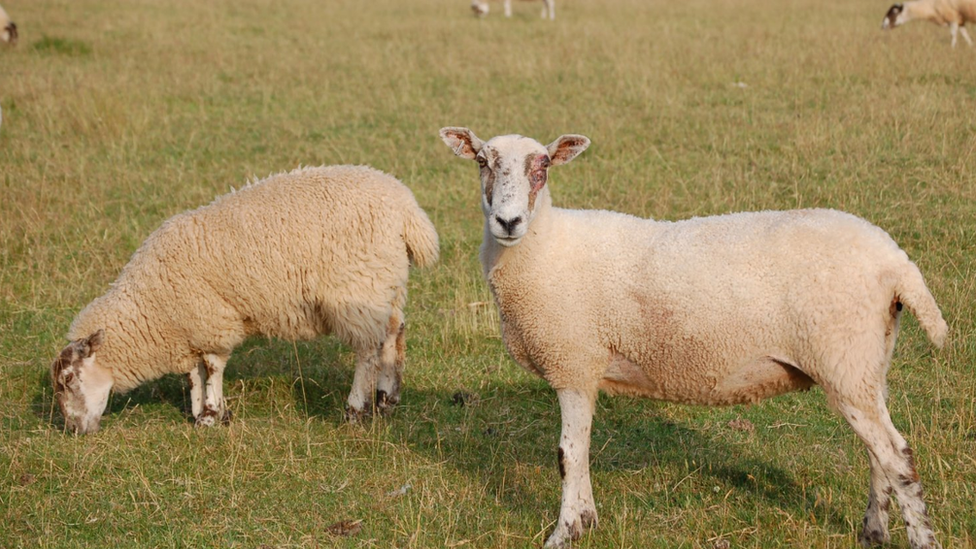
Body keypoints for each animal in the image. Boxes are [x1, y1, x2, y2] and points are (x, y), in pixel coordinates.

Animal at [48, 165, 438, 434]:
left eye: (68, 379)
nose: (73, 430)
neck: (149, 305)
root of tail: (409, 212)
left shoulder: (211, 318)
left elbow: (212, 367)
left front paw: (210, 415)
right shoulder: (189, 326)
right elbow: (193, 373)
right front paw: (202, 412)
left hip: (358, 289)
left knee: (367, 351)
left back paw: (355, 410)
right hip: (384, 285)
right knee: (394, 332)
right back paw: (387, 399)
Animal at [440, 125, 944, 548]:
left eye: (543, 165)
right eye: (482, 161)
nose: (508, 222)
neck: (544, 246)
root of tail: (897, 262)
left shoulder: (573, 362)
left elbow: (568, 454)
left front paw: (565, 533)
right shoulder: (582, 367)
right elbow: (579, 454)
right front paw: (587, 521)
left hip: (844, 358)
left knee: (897, 456)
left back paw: (921, 538)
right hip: (868, 364)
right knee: (878, 454)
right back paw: (873, 531)